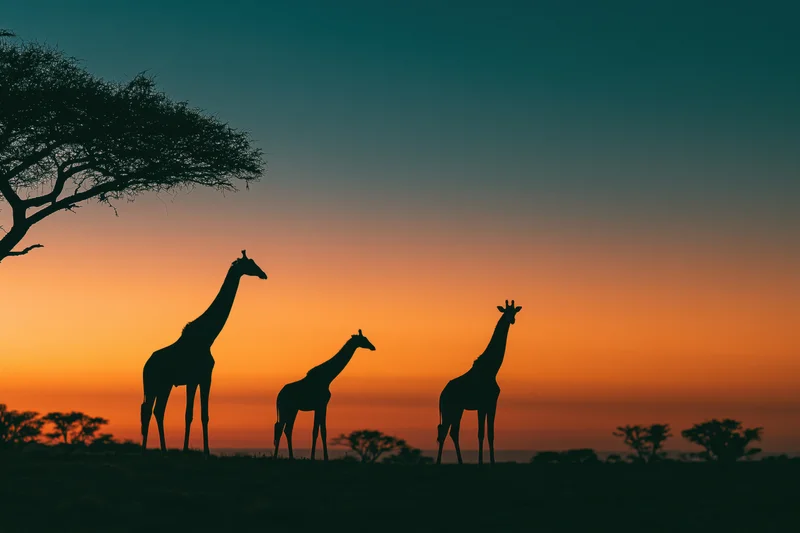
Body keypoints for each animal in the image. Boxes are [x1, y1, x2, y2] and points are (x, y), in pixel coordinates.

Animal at [140, 250, 267, 456]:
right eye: (250, 263)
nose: (263, 274)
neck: (208, 337)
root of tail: (145, 366)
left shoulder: (199, 378)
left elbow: (199, 414)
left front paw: (195, 451)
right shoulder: (201, 377)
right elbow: (193, 414)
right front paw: (199, 452)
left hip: (163, 385)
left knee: (156, 411)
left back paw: (161, 450)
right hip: (154, 385)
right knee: (149, 410)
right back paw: (148, 451)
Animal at [272, 329, 376, 461]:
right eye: (363, 339)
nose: (373, 347)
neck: (328, 377)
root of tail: (278, 396)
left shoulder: (321, 406)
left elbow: (321, 430)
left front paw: (318, 457)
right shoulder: (321, 405)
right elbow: (318, 431)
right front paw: (319, 457)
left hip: (293, 409)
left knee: (287, 429)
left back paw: (291, 457)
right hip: (285, 408)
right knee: (280, 428)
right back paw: (276, 457)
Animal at [436, 300, 521, 465]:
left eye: (514, 311)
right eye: (505, 311)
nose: (512, 320)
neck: (491, 370)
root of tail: (442, 394)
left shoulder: (492, 404)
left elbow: (490, 433)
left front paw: (492, 462)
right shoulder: (482, 405)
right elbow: (481, 433)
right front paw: (481, 462)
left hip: (458, 409)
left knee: (453, 432)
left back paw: (461, 462)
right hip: (449, 408)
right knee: (443, 431)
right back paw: (438, 463)